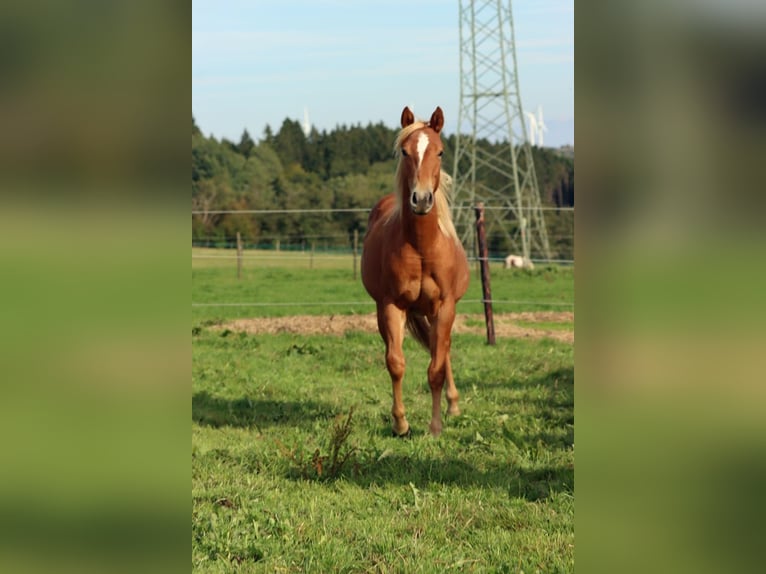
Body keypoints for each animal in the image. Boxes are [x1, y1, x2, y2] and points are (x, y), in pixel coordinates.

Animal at [361, 106, 470, 437]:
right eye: (405, 151)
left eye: (441, 151)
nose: (421, 199)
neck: (423, 246)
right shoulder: (390, 306)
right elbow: (395, 363)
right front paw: (400, 423)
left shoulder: (445, 307)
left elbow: (436, 368)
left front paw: (435, 427)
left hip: (438, 313)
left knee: (443, 352)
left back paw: (453, 405)